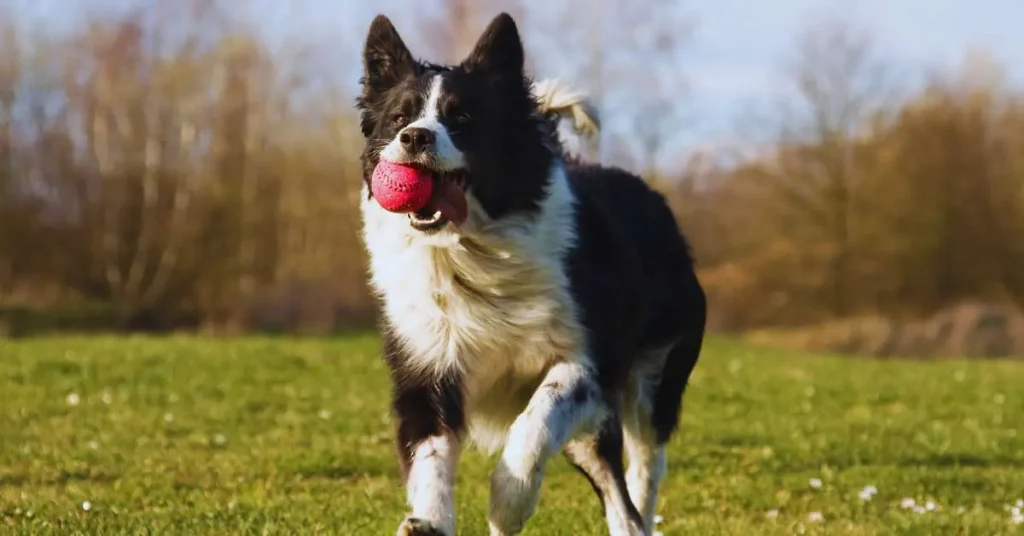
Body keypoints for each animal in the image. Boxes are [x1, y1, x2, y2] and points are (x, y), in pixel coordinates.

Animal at [354, 12, 704, 536]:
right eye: (399, 117)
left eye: (462, 118)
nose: (415, 137)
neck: (471, 249)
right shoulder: (425, 367)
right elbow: (429, 458)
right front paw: (427, 522)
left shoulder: (590, 361)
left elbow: (537, 421)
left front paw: (509, 501)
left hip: (652, 378)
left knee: (637, 477)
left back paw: (636, 516)